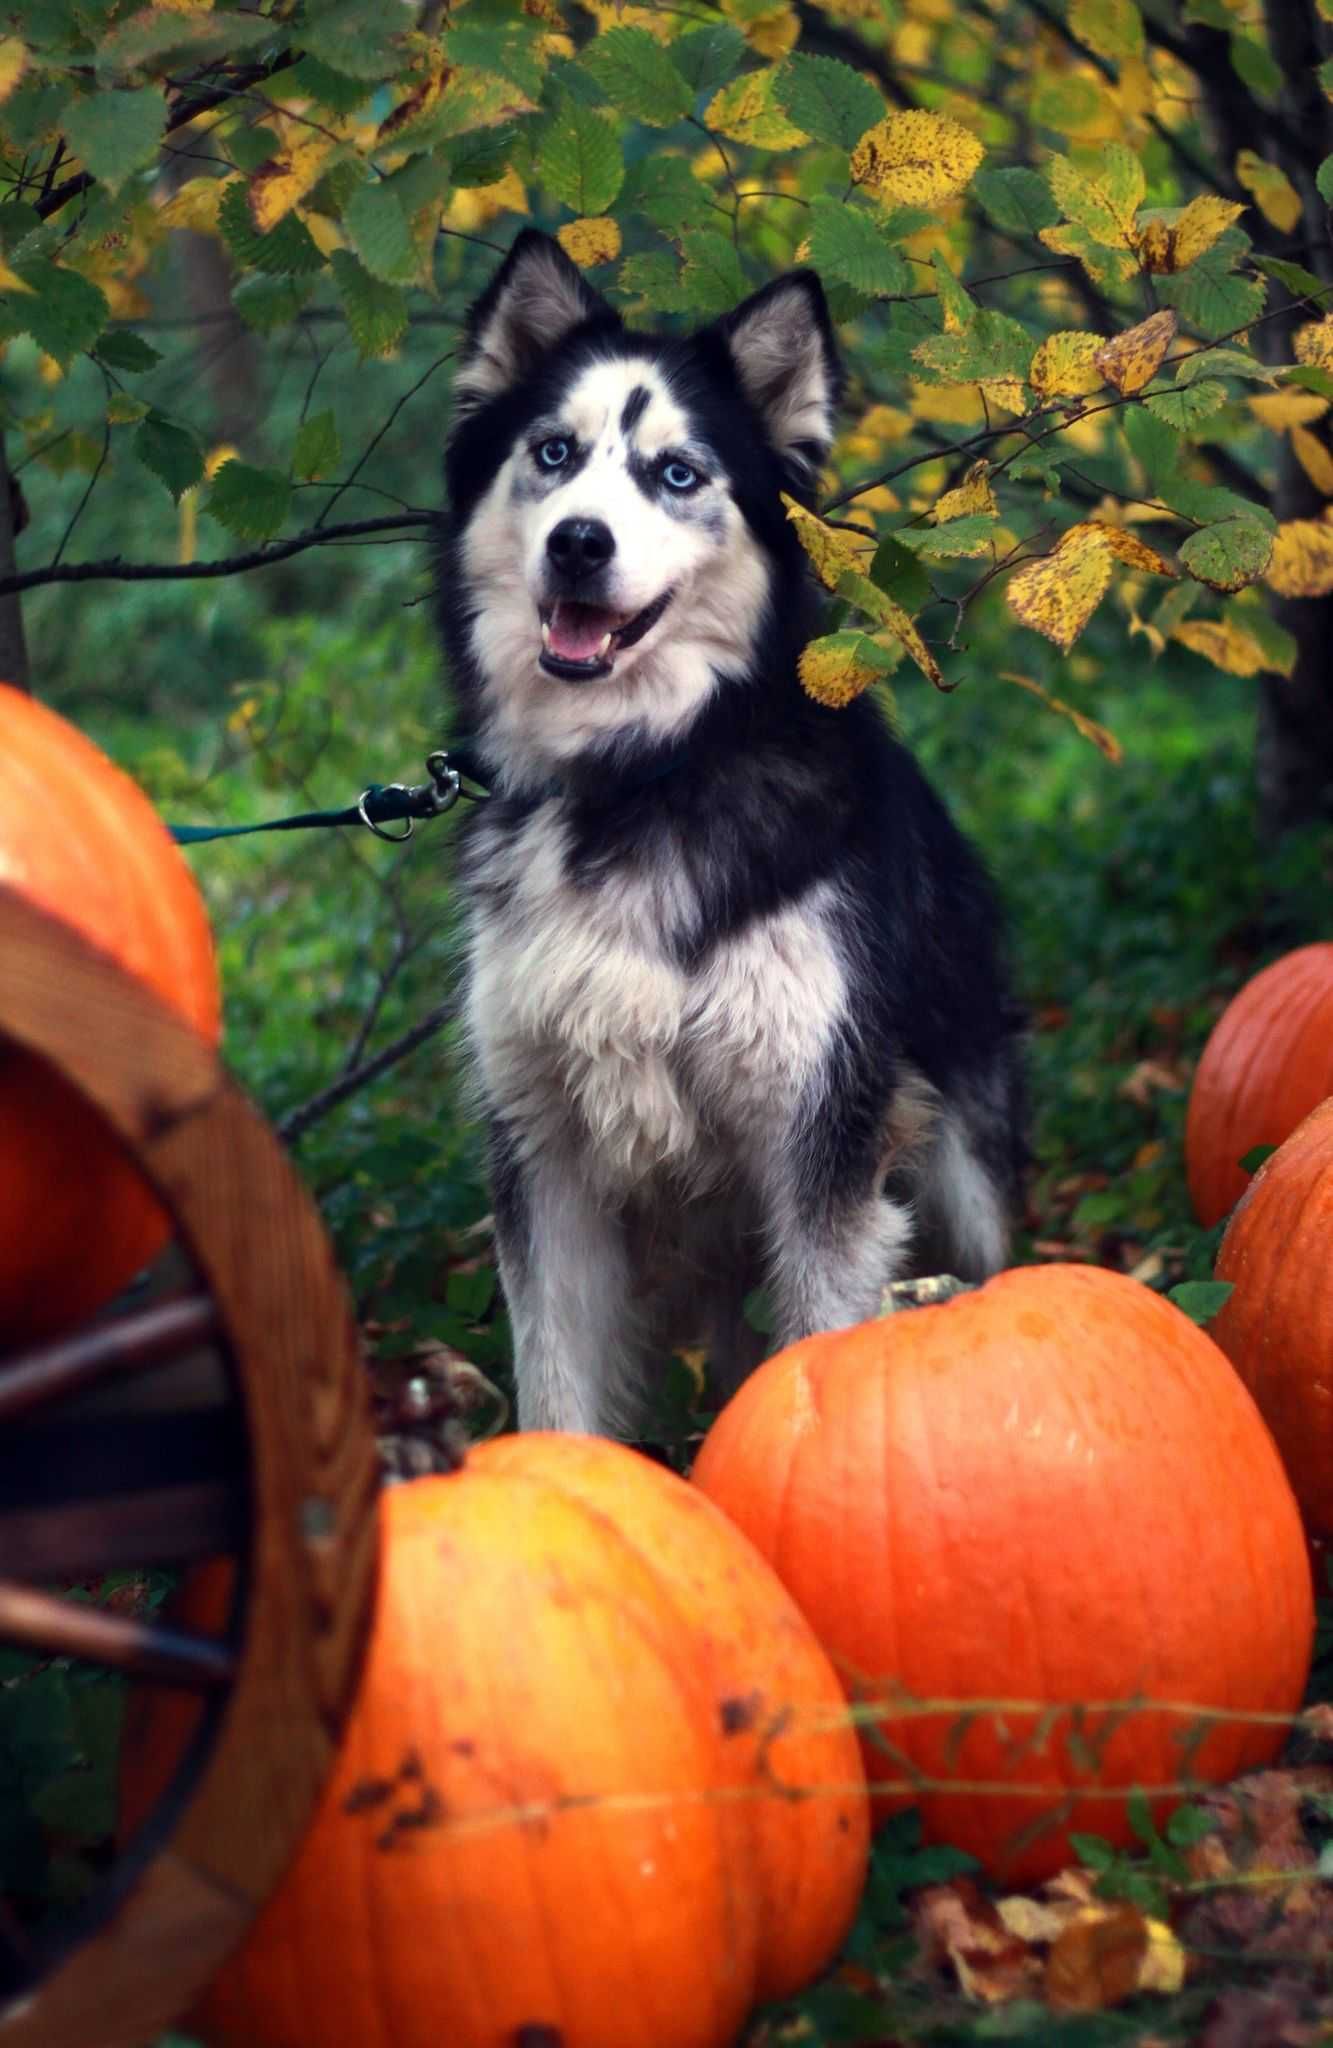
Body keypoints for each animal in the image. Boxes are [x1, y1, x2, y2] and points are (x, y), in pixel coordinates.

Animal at [442, 232, 1027, 1433]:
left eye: (677, 473)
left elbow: (824, 1335)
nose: (578, 543)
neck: (641, 774)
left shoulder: (821, 1140)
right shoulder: (543, 1156)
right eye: (554, 452)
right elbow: (555, 1391)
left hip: (959, 1166)